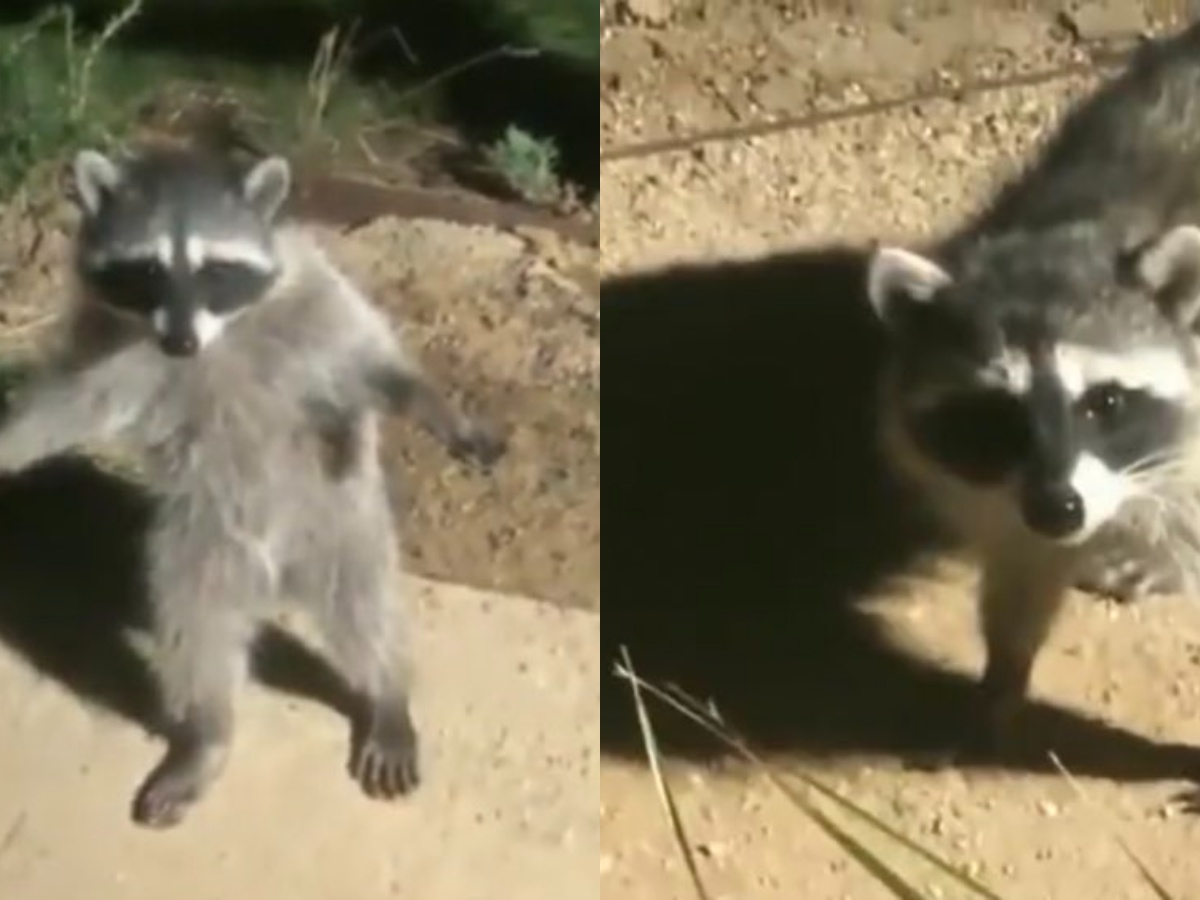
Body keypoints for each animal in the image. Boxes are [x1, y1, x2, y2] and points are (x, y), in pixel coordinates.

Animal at [0, 144, 504, 828]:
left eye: (215, 268)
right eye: (147, 268)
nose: (179, 340)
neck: (215, 336)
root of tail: (276, 578)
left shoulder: (313, 292)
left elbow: (367, 358)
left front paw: (435, 406)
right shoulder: (105, 340)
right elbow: (65, 405)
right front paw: (11, 442)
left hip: (339, 520)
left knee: (364, 606)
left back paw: (386, 690)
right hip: (199, 547)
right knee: (196, 632)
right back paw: (208, 733)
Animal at [864, 20, 1200, 751]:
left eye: (1106, 402)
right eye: (997, 413)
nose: (1059, 510)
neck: (1083, 227)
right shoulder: (1003, 487)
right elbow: (1022, 563)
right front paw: (1004, 667)